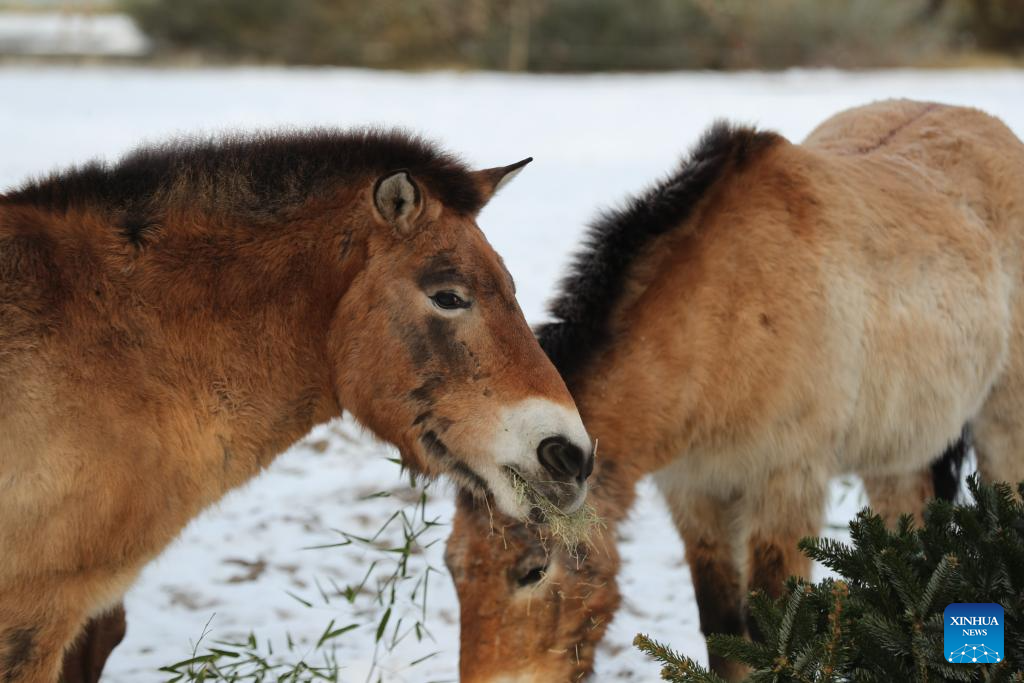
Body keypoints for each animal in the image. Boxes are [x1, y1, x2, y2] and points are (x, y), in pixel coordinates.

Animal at [444, 99, 1024, 682]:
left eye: (533, 570)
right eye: (452, 566)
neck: (726, 319)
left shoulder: (786, 488)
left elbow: (776, 635)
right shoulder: (696, 493)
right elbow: (723, 631)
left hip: (1001, 431)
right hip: (897, 458)